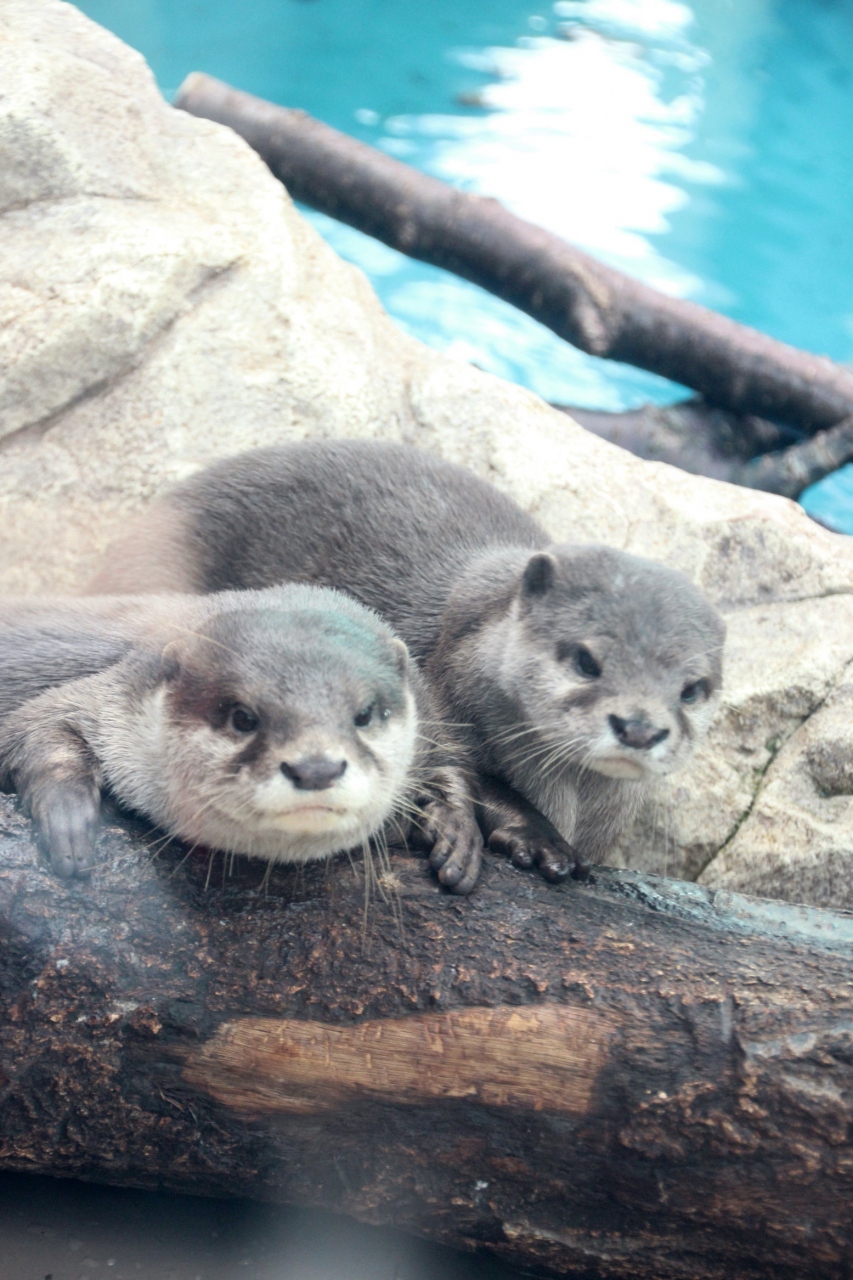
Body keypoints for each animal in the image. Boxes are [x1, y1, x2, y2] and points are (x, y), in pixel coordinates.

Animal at [0, 586, 481, 885]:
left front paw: (456, 829)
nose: (316, 768)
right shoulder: (112, 698)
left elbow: (451, 761)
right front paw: (68, 819)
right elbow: (39, 721)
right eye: (243, 717)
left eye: (363, 714)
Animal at [87, 442, 722, 880]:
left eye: (692, 689)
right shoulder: (445, 692)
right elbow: (471, 774)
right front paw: (537, 839)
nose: (638, 727)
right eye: (587, 660)